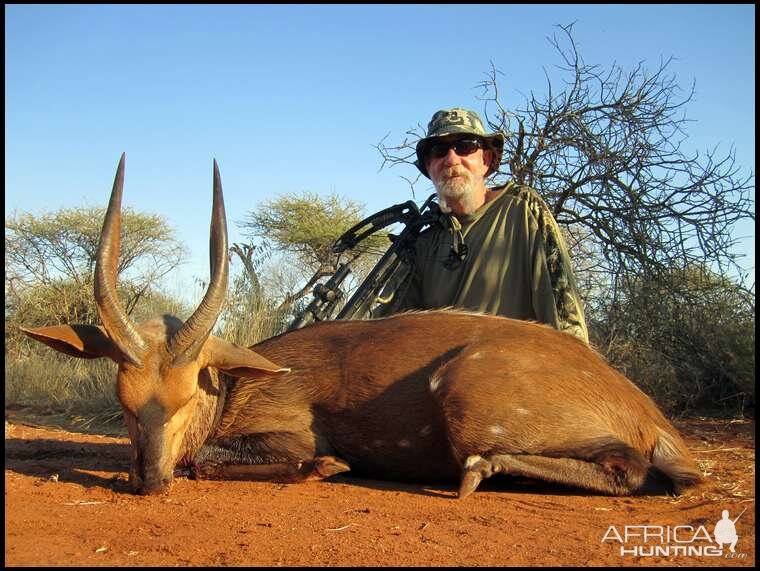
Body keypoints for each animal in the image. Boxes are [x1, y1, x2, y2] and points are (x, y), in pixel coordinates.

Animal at [20, 154, 704, 498]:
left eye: (190, 394)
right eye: (122, 402)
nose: (150, 483)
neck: (237, 384)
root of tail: (649, 414)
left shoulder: (291, 431)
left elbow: (219, 460)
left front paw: (328, 468)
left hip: (466, 399)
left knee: (630, 470)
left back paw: (479, 472)